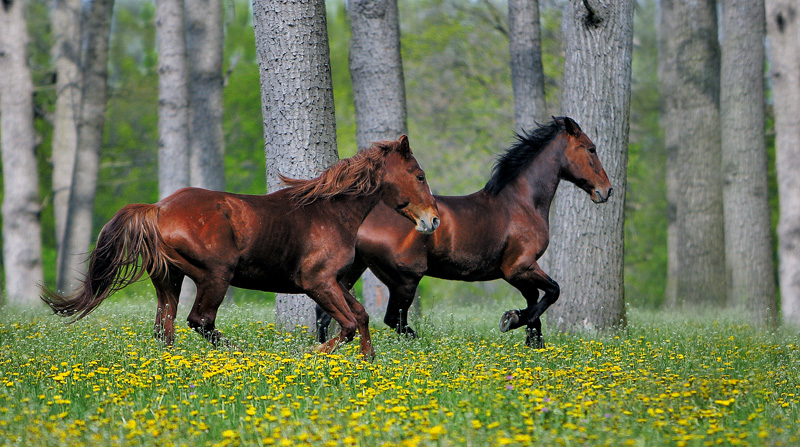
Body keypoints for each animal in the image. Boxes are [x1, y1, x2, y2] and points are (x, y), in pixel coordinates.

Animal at [42, 135, 444, 358]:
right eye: (419, 176)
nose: (433, 220)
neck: (330, 211)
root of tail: (157, 209)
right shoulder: (317, 282)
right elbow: (345, 325)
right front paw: (310, 355)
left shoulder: (337, 283)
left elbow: (359, 317)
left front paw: (368, 360)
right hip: (215, 277)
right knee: (199, 321)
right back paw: (244, 355)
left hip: (169, 280)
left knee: (165, 328)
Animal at [318, 117, 612, 348]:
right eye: (591, 149)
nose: (606, 191)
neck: (522, 203)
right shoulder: (519, 268)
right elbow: (552, 292)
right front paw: (511, 320)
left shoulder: (518, 273)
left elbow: (535, 303)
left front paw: (533, 342)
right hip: (405, 280)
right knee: (393, 320)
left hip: (352, 271)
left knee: (326, 314)